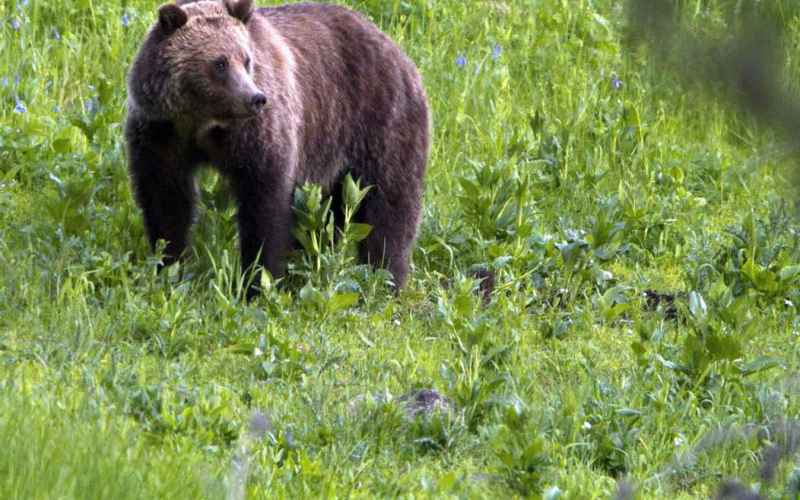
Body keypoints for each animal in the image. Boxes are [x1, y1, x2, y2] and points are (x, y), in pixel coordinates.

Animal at [126, 0, 432, 296]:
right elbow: (165, 200)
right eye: (220, 63)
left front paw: (258, 282)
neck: (203, 123)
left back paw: (385, 279)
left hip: (379, 122)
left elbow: (265, 205)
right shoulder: (160, 134)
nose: (255, 98)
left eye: (246, 59)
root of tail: (397, 50)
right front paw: (169, 267)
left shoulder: (257, 136)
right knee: (331, 213)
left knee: (390, 205)